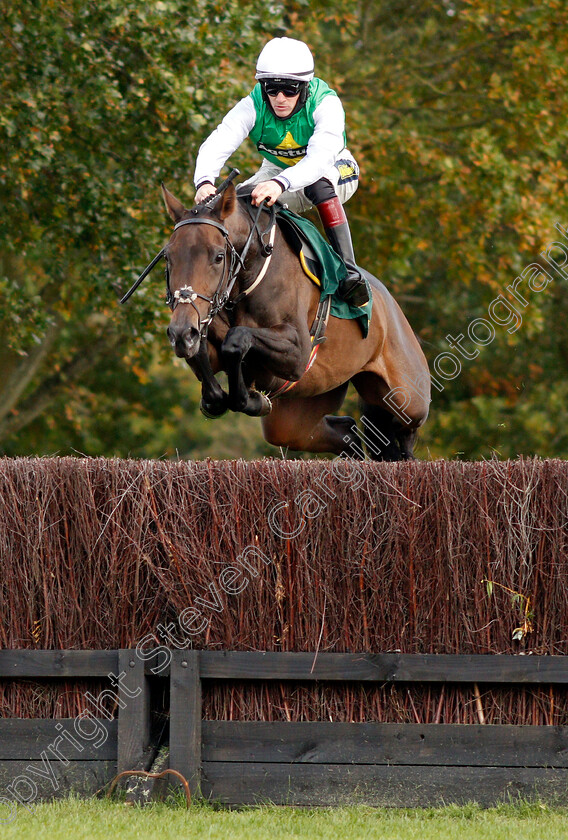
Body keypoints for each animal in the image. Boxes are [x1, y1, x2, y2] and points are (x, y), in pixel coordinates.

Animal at [132, 176, 430, 460]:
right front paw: (223, 397)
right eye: (168, 258)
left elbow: (236, 340)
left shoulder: (297, 352)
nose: (181, 332)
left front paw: (251, 399)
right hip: (300, 411)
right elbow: (206, 358)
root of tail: (392, 305)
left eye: (218, 257)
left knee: (405, 427)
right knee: (345, 433)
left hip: (405, 396)